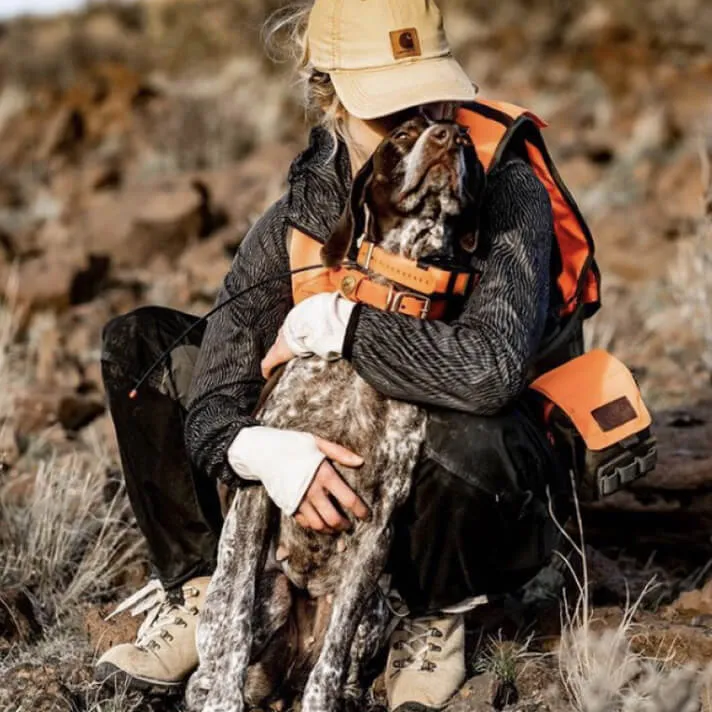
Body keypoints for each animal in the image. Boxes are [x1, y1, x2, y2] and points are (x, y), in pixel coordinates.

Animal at [186, 115, 486, 712]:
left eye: (461, 137)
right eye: (403, 135)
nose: (449, 138)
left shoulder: (377, 527)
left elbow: (334, 653)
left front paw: (326, 699)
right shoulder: (259, 496)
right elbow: (234, 630)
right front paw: (224, 701)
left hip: (375, 609)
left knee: (334, 657)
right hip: (270, 591)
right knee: (218, 650)